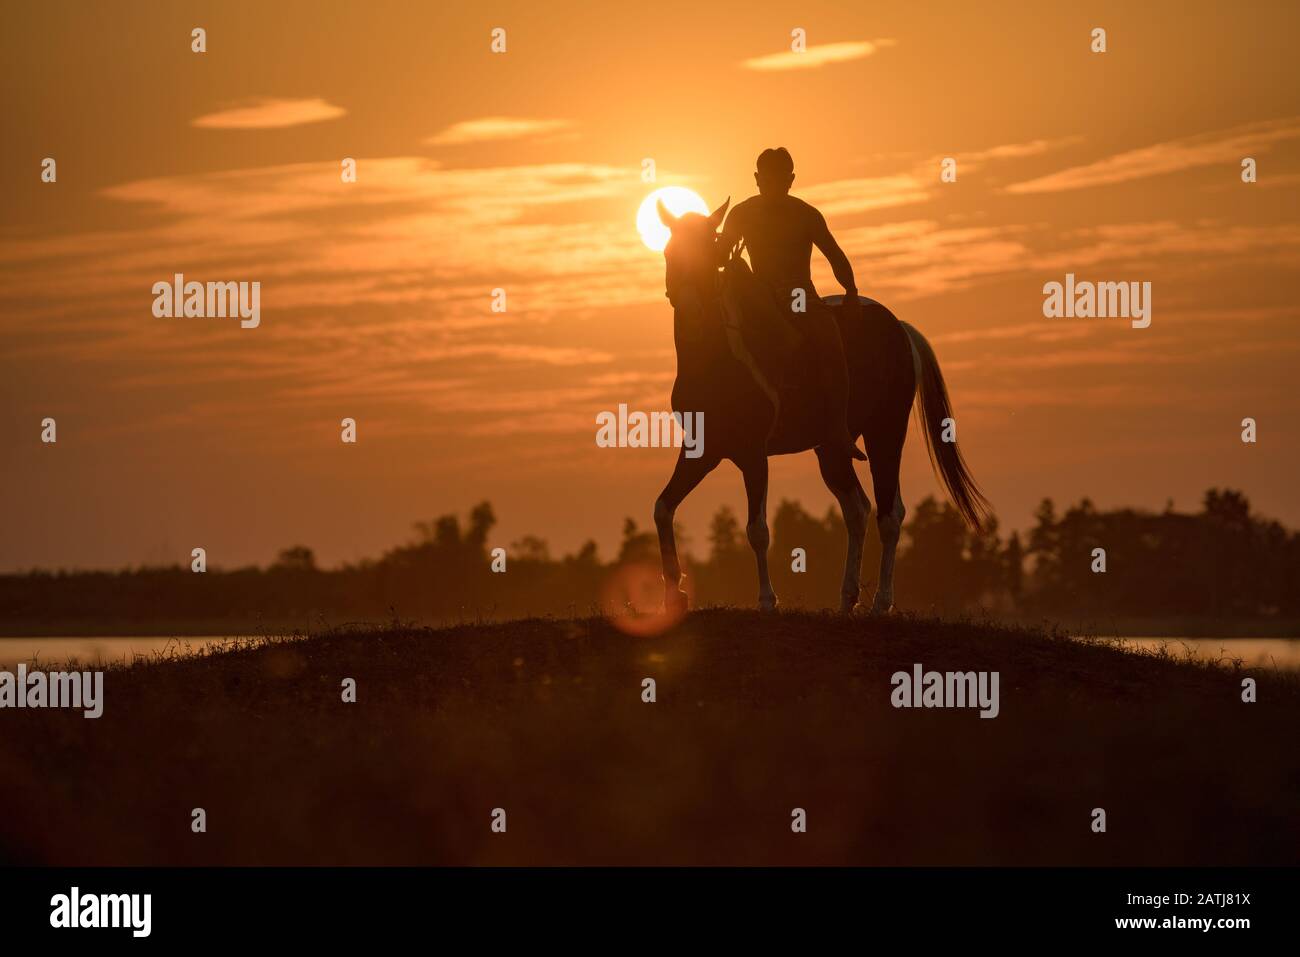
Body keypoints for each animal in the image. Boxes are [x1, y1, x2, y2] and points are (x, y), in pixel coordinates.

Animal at [655, 198, 987, 616]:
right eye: (670, 253)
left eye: (710, 256)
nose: (691, 308)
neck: (719, 359)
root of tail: (899, 327)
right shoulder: (703, 451)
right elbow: (663, 508)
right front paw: (674, 594)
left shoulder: (753, 454)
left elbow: (757, 530)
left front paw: (767, 600)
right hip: (832, 449)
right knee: (857, 510)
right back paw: (846, 599)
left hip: (886, 432)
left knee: (889, 514)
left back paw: (881, 602)